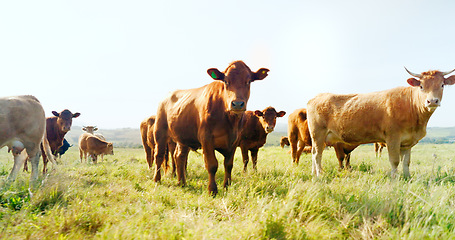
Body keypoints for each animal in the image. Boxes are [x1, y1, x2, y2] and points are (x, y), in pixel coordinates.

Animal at [155, 60, 268, 195]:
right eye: (226, 81)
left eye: (249, 81)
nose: (237, 104)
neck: (229, 119)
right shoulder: (206, 138)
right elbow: (212, 165)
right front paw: (212, 190)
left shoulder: (235, 141)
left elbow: (228, 165)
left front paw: (226, 186)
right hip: (160, 132)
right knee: (159, 155)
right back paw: (157, 180)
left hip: (183, 137)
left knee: (179, 157)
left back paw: (181, 183)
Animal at [306, 67, 455, 176]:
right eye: (421, 86)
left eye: (442, 85)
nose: (432, 101)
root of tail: (316, 97)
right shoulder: (393, 138)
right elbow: (394, 161)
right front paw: (394, 180)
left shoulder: (407, 142)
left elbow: (406, 162)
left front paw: (407, 178)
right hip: (318, 134)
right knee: (317, 155)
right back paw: (319, 175)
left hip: (318, 138)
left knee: (314, 154)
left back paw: (313, 174)